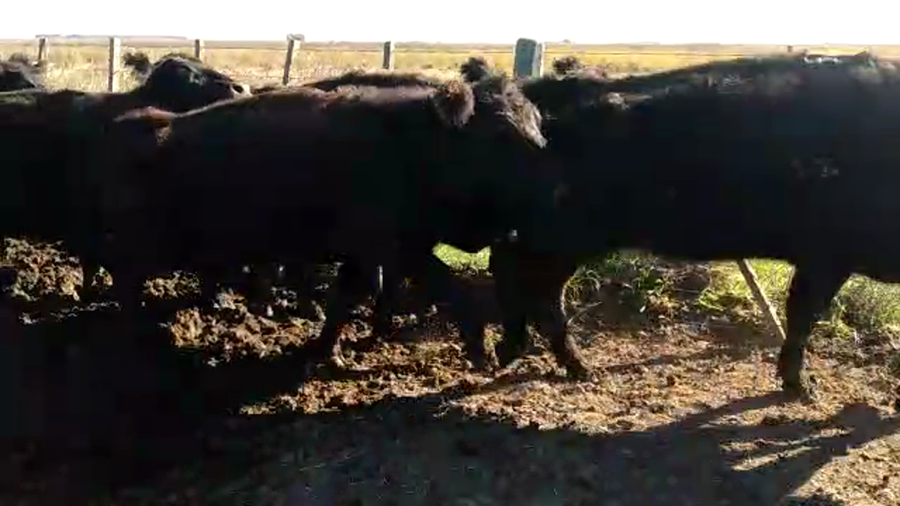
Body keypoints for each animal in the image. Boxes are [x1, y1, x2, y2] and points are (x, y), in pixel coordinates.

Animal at [89, 75, 553, 372]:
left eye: (536, 124)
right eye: (500, 132)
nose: (551, 183)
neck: (409, 147)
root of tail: (134, 125)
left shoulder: (375, 253)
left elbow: (347, 298)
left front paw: (328, 350)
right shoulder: (391, 247)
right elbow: (449, 290)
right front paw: (483, 354)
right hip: (145, 245)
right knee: (124, 279)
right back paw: (136, 335)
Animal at [469, 52, 898, 401]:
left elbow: (801, 313)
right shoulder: (827, 254)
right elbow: (804, 315)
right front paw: (803, 387)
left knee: (524, 282)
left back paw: (541, 360)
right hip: (558, 239)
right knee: (525, 282)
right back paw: (547, 361)